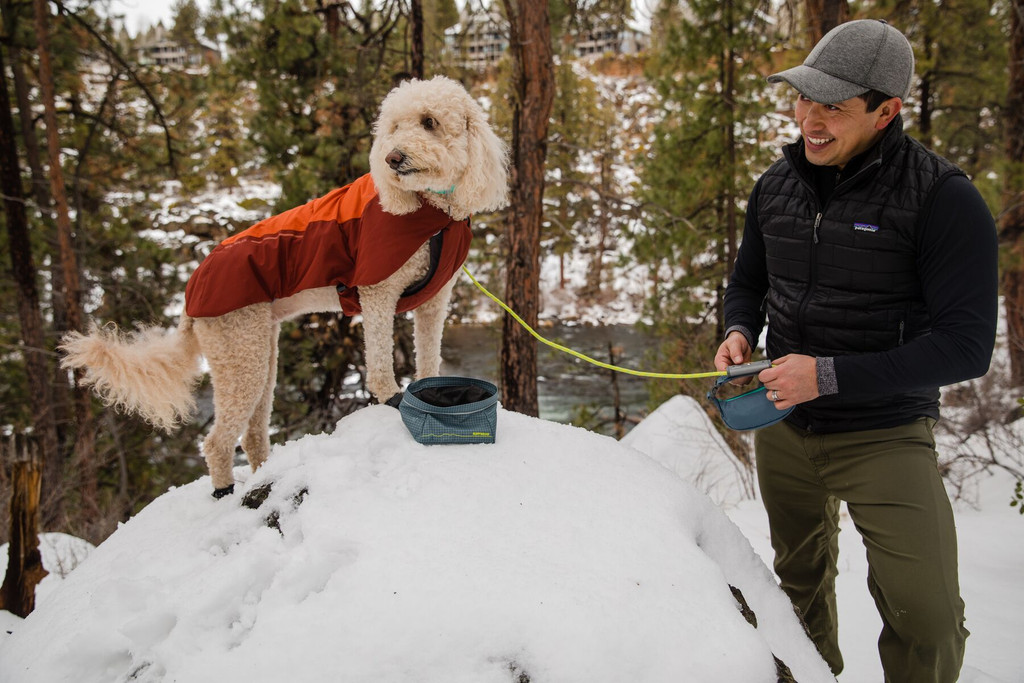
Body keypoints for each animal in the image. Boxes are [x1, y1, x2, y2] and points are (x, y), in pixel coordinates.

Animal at [59, 76, 507, 497]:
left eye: (429, 122)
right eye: (395, 126)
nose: (392, 157)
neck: (430, 209)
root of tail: (190, 293)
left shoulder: (435, 303)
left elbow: (429, 358)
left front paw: (428, 389)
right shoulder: (378, 293)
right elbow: (379, 359)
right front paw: (391, 397)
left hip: (259, 352)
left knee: (254, 433)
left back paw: (262, 476)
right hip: (240, 355)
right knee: (217, 441)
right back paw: (224, 491)